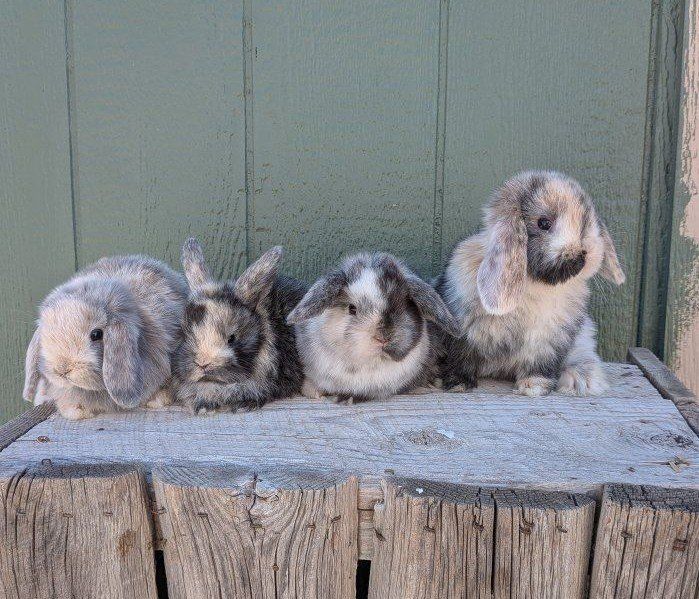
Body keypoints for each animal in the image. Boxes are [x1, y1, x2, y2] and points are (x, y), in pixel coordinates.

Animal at [435, 170, 626, 397]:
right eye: (544, 223)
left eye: (587, 219)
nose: (585, 254)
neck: (534, 282)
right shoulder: (463, 333)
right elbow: (460, 358)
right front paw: (457, 384)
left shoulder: (547, 339)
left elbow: (538, 364)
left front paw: (534, 387)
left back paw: (581, 382)